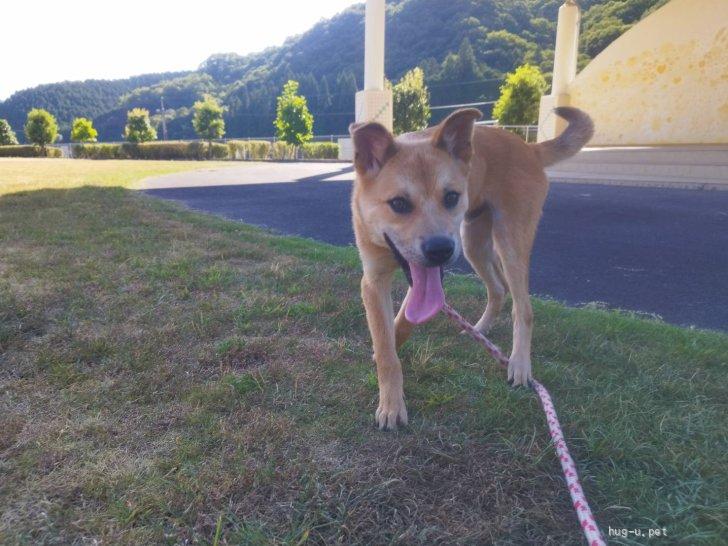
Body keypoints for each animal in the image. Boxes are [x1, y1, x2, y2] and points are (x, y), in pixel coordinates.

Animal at [350, 106, 594, 430]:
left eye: (451, 197)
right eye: (399, 203)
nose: (440, 250)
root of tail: (528, 148)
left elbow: (408, 316)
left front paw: (391, 404)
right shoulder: (374, 280)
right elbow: (392, 338)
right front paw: (389, 376)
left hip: (508, 242)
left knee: (523, 307)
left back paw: (519, 363)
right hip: (472, 243)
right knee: (498, 289)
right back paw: (479, 329)